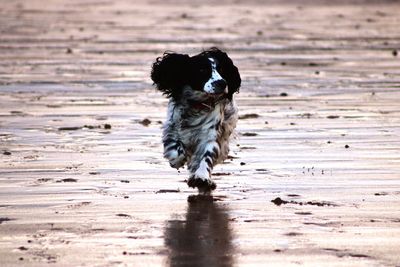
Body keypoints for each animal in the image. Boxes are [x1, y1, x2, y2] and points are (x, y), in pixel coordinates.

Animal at [151, 47, 241, 193]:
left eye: (222, 69)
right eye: (202, 70)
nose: (222, 83)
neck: (197, 104)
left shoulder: (211, 136)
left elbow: (206, 157)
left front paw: (201, 178)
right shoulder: (172, 127)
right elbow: (175, 148)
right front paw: (177, 160)